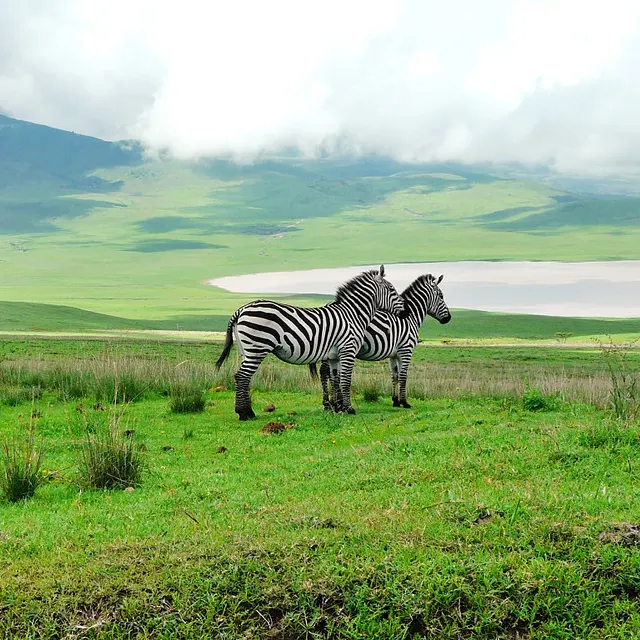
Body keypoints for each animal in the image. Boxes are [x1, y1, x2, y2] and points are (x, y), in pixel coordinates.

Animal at [214, 264, 404, 420]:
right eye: (392, 289)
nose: (406, 311)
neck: (353, 314)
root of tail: (241, 309)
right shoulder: (348, 350)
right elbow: (346, 380)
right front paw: (348, 408)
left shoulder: (334, 355)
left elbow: (335, 379)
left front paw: (337, 408)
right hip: (257, 348)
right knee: (242, 377)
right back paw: (243, 413)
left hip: (246, 350)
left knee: (245, 377)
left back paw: (249, 412)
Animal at [310, 272, 450, 408]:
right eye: (441, 296)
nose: (448, 318)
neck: (410, 318)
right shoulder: (406, 349)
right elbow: (403, 376)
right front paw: (404, 402)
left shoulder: (394, 354)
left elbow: (395, 375)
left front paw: (395, 401)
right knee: (325, 372)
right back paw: (329, 403)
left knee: (329, 373)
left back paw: (332, 403)